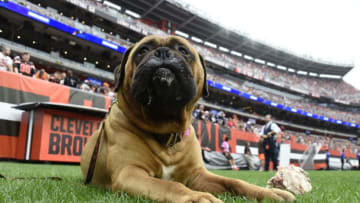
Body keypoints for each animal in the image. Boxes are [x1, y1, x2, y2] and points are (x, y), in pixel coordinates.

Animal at [80, 35, 294, 202]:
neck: (165, 129)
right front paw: (197, 197)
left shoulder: (198, 176)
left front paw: (270, 193)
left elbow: (233, 181)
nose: (163, 52)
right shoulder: (130, 172)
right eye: (143, 50)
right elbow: (170, 185)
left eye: (183, 50)